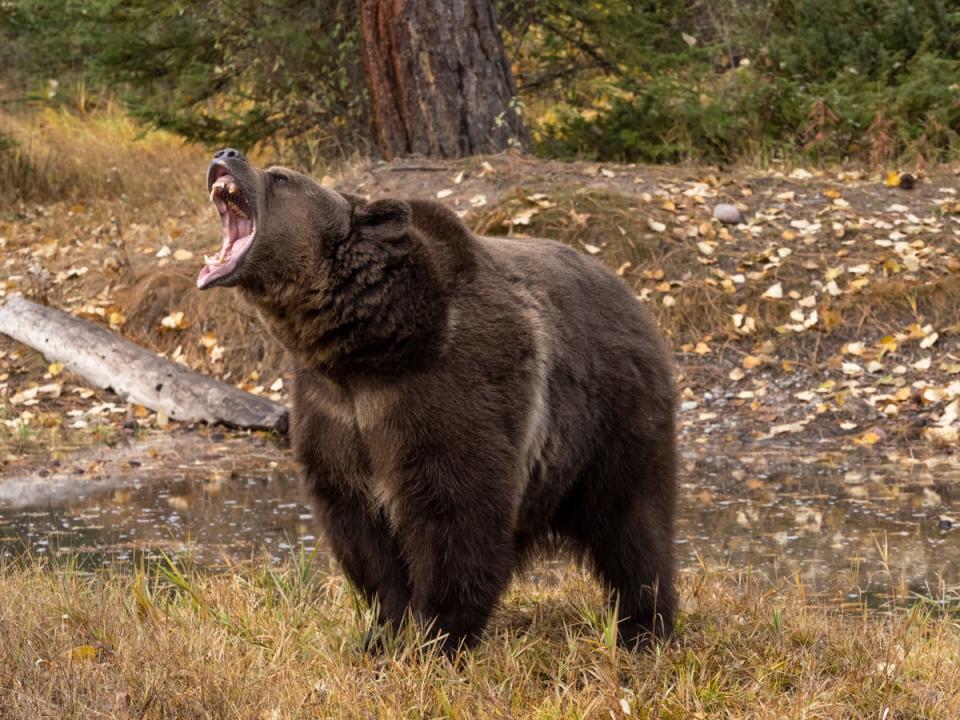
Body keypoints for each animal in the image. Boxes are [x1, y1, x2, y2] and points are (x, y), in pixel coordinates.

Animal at [197, 148, 676, 652]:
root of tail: (632, 295)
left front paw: (438, 636)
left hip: (614, 418)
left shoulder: (446, 393)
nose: (227, 153)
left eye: (281, 178)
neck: (369, 349)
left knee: (632, 525)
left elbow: (455, 516)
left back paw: (644, 627)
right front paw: (383, 633)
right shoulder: (334, 414)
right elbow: (361, 532)